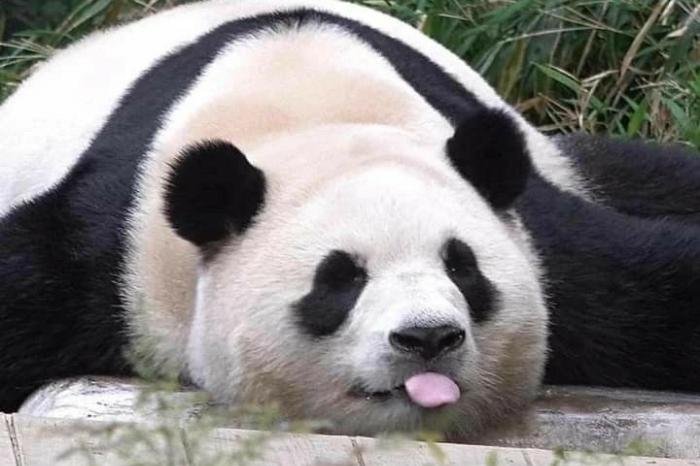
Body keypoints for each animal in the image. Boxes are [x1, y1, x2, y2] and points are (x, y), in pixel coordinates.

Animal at [0, 0, 698, 437]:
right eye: (339, 279)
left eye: (463, 268)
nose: (428, 338)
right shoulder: (115, 245)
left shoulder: (544, 240)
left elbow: (649, 285)